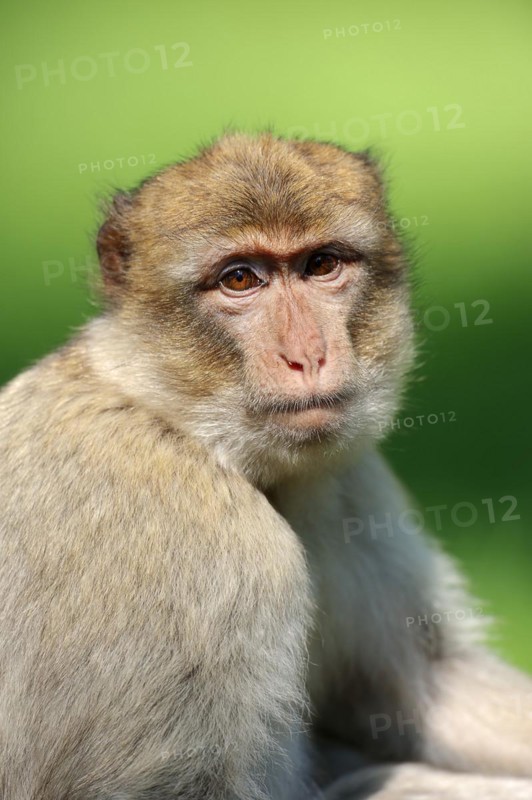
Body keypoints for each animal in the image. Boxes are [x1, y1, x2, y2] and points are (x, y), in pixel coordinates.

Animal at [0, 131, 531, 800]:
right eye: (240, 279)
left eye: (321, 266)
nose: (307, 355)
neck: (181, 424)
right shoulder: (210, 546)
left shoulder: (346, 481)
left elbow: (419, 688)